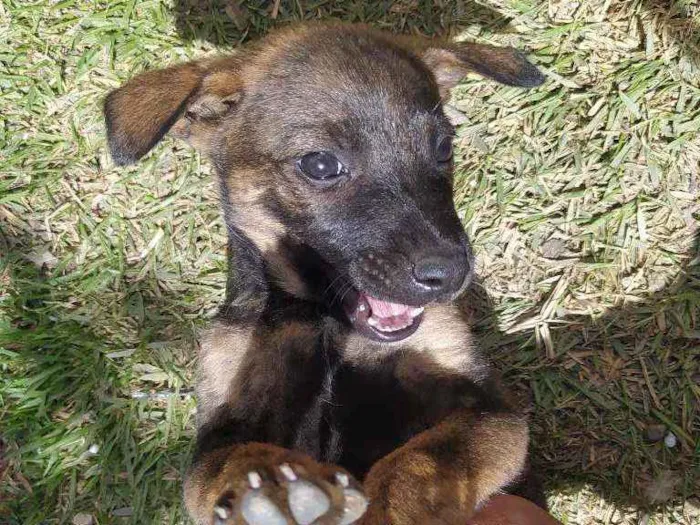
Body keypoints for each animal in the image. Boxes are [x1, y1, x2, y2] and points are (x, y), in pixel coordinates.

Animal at [104, 23, 544, 524]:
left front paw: (392, 508)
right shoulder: (217, 434)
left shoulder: (490, 409)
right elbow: (236, 459)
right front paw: (272, 489)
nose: (451, 274)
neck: (326, 318)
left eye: (443, 147)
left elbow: (423, 458)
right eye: (320, 164)